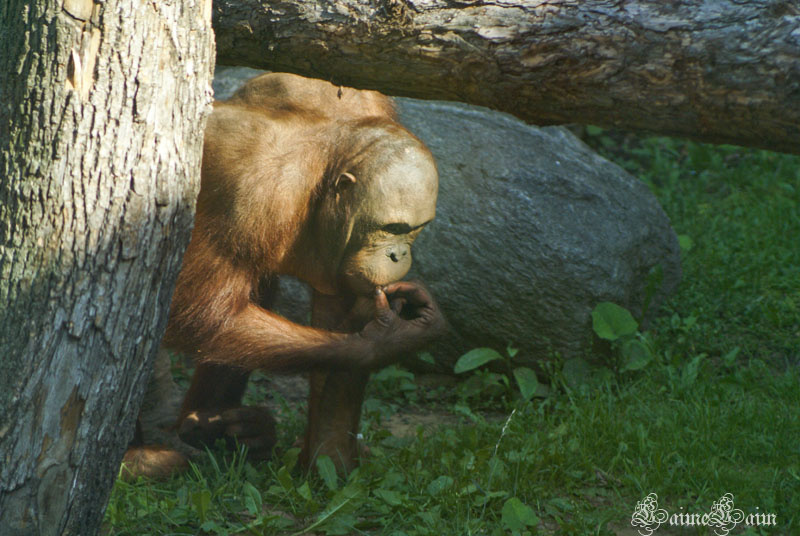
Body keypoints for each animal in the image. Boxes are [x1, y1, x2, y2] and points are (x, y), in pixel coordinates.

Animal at [124, 73, 445, 477]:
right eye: (392, 227)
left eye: (414, 230)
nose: (398, 254)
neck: (322, 176)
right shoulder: (249, 193)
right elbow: (202, 313)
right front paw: (385, 341)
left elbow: (337, 313)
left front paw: (329, 463)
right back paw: (143, 457)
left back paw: (217, 425)